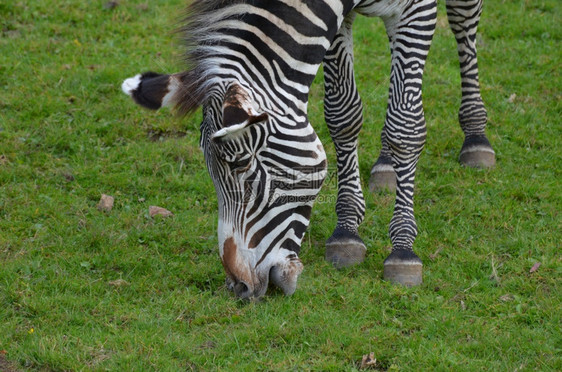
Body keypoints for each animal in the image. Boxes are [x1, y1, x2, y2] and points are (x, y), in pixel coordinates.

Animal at [122, 0, 494, 298]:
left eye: (242, 165)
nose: (239, 287)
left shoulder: (417, 10)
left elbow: (405, 125)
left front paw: (403, 248)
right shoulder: (335, 21)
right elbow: (343, 113)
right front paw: (347, 230)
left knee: (463, 21)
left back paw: (476, 137)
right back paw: (386, 165)